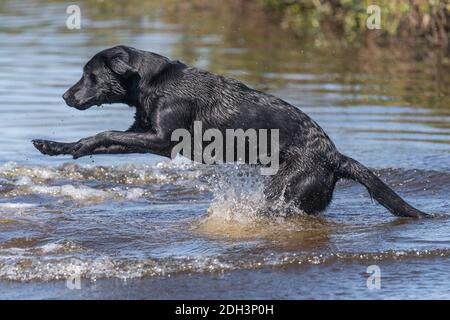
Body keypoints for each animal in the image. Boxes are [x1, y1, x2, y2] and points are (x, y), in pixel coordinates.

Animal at [34, 45, 428, 218]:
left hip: (286, 189)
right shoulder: (141, 134)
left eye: (90, 75)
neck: (152, 82)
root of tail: (335, 156)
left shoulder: (162, 140)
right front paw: (55, 146)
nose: (65, 96)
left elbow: (105, 133)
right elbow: (100, 141)